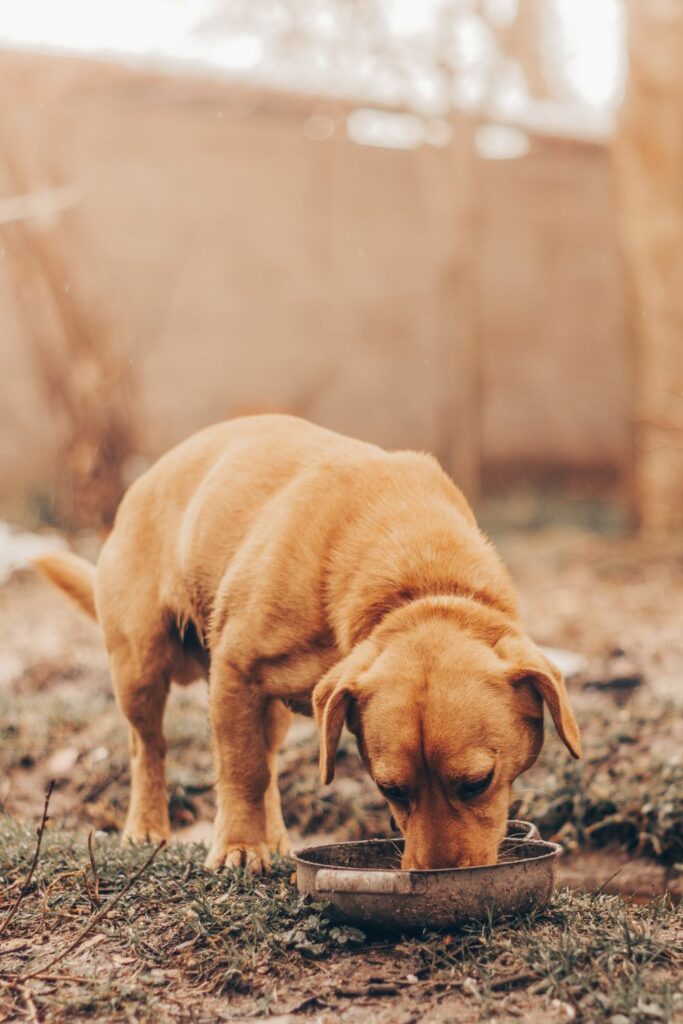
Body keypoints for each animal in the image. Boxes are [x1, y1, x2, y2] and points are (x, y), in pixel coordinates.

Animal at [36, 415, 581, 872]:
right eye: (391, 788)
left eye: (476, 783)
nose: (437, 876)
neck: (418, 574)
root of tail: (141, 484)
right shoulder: (233, 673)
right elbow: (242, 770)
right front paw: (238, 847)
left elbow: (258, 768)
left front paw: (255, 840)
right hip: (141, 670)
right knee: (148, 747)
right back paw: (148, 826)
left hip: (266, 709)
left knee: (268, 757)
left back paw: (274, 836)